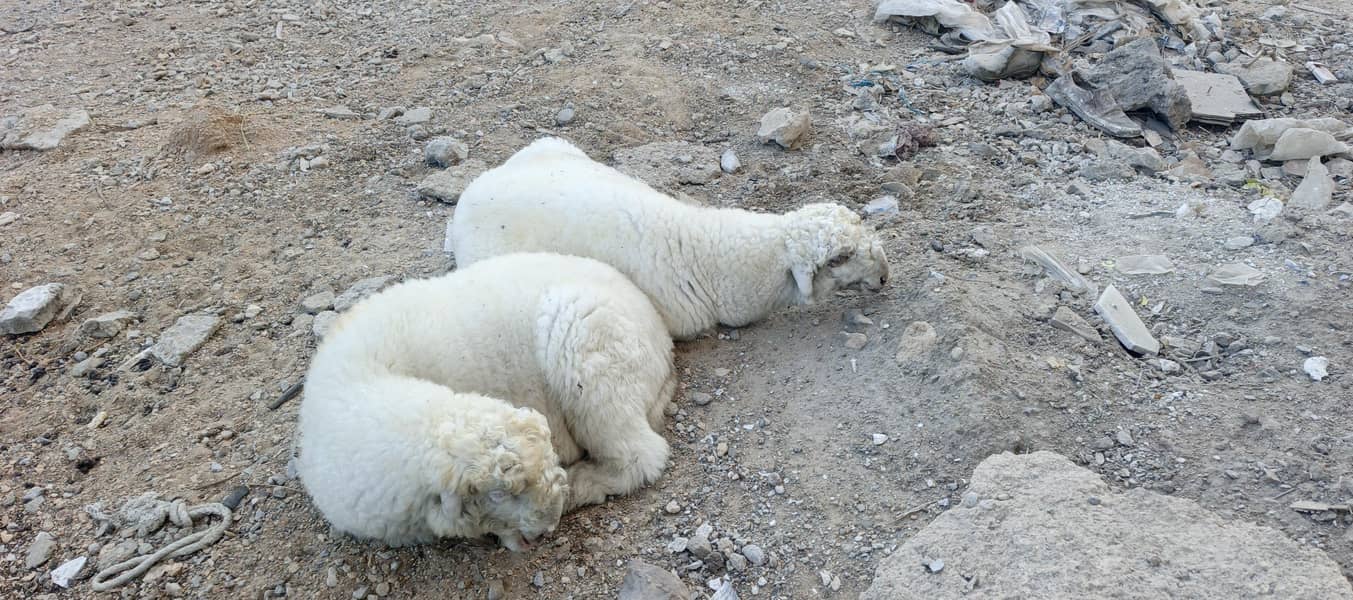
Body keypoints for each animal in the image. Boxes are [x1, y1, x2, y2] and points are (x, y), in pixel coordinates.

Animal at [296, 252, 676, 551]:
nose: (546, 526)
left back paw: (583, 482)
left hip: (588, 350)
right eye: (497, 495)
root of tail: (662, 338)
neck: (365, 382)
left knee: (641, 454)